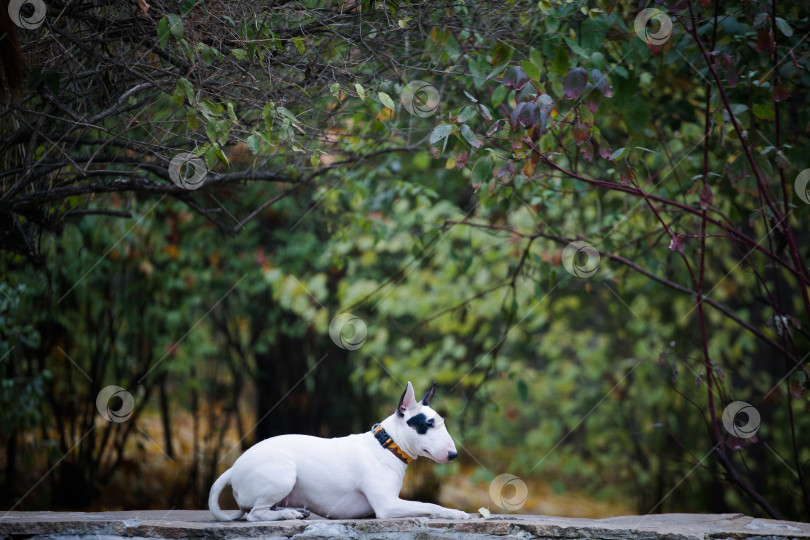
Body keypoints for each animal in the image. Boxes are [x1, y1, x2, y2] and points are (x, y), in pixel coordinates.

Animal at [208, 382, 470, 520]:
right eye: (428, 424)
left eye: (441, 422)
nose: (453, 454)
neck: (387, 445)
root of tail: (233, 468)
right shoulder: (387, 505)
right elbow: (429, 505)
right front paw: (456, 513)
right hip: (283, 474)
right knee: (254, 513)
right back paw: (288, 515)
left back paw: (293, 510)